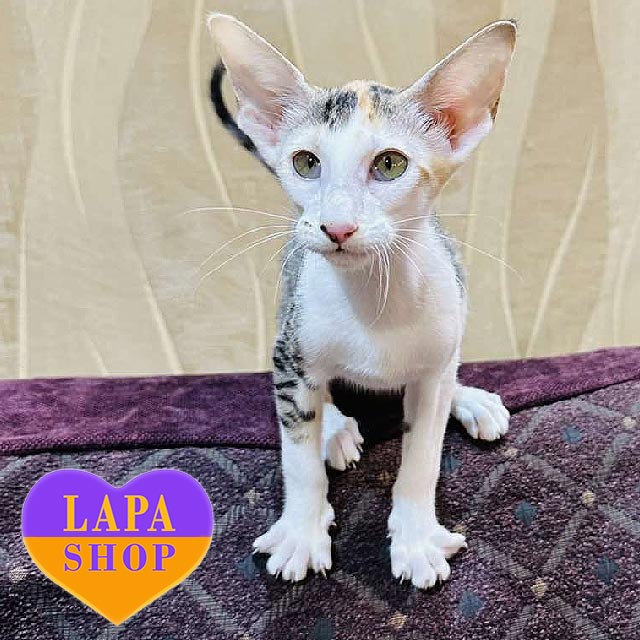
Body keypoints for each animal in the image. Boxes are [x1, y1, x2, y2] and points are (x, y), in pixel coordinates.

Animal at [208, 13, 515, 588]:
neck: (376, 296)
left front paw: (415, 537)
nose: (337, 226)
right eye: (306, 162)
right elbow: (297, 459)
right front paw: (302, 531)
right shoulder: (289, 348)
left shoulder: (432, 366)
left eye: (390, 164)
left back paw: (469, 399)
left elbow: (423, 456)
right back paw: (333, 427)